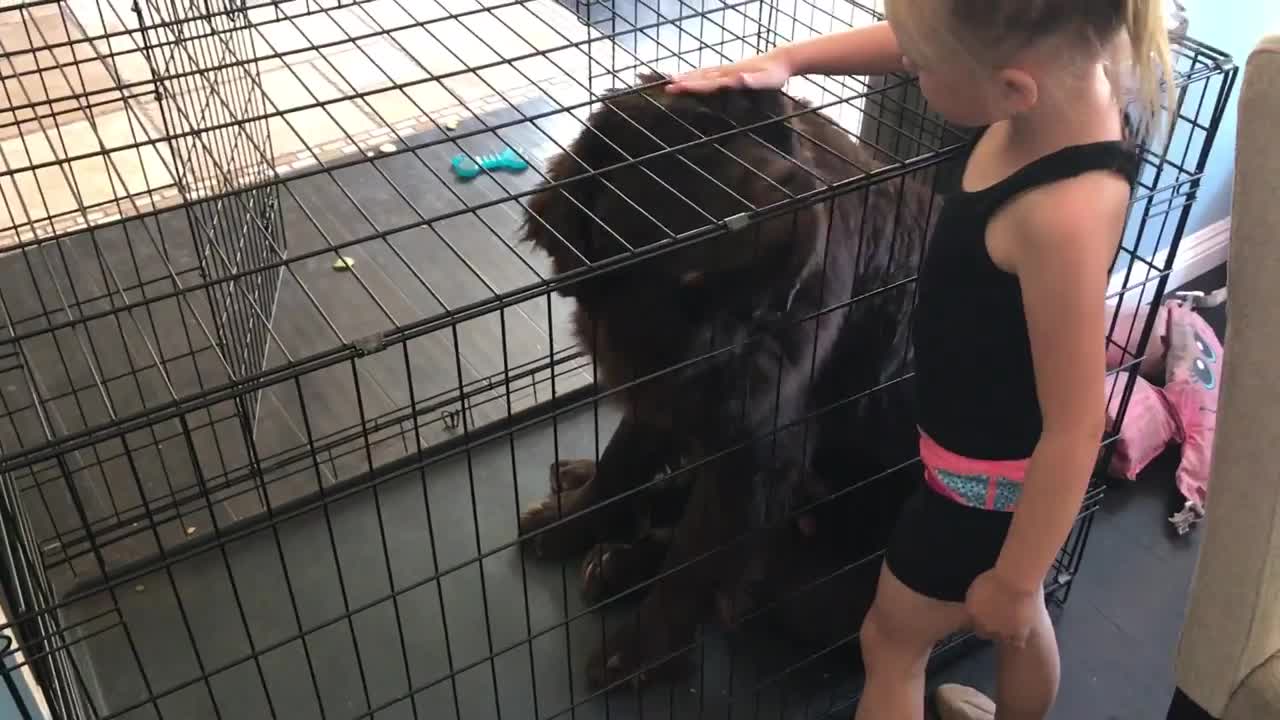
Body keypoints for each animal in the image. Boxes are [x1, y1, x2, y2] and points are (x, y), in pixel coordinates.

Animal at [514, 73, 936, 691]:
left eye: (780, 139)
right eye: (696, 138)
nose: (801, 195)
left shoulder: (757, 444)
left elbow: (691, 561)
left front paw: (637, 653)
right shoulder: (664, 387)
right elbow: (622, 462)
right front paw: (575, 519)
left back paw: (622, 561)